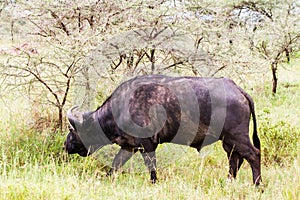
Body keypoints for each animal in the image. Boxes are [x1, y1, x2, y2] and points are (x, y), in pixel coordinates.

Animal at [64, 74, 262, 185]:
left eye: (73, 130)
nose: (65, 145)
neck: (121, 107)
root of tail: (237, 89)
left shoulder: (148, 145)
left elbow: (151, 166)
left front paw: (153, 183)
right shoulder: (129, 147)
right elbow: (115, 164)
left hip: (237, 136)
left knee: (253, 154)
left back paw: (257, 184)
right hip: (228, 141)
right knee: (234, 159)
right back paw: (230, 181)